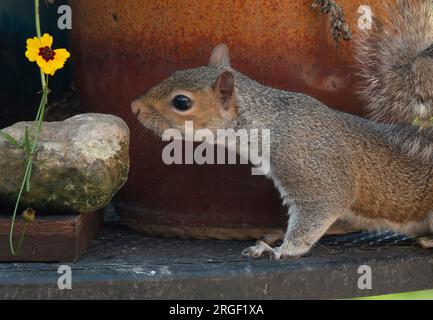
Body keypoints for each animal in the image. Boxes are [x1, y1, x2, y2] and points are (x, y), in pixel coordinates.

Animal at [130, 0, 432, 258]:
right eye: (173, 73)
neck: (271, 121)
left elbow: (319, 211)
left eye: (182, 102)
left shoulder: (312, 171)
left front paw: (280, 250)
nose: (134, 107)